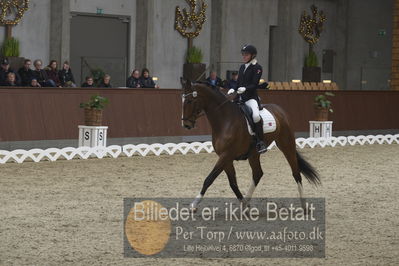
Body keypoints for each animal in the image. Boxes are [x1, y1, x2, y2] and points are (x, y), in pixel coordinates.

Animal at [181, 79, 322, 210]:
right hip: (254, 154)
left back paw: (304, 206)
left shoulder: (226, 155)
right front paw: (244, 205)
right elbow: (233, 183)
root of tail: (280, 111)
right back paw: (247, 202)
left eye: (189, 101)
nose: (186, 125)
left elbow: (209, 179)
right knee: (258, 174)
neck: (225, 120)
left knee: (296, 173)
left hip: (286, 144)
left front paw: (194, 204)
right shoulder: (225, 157)